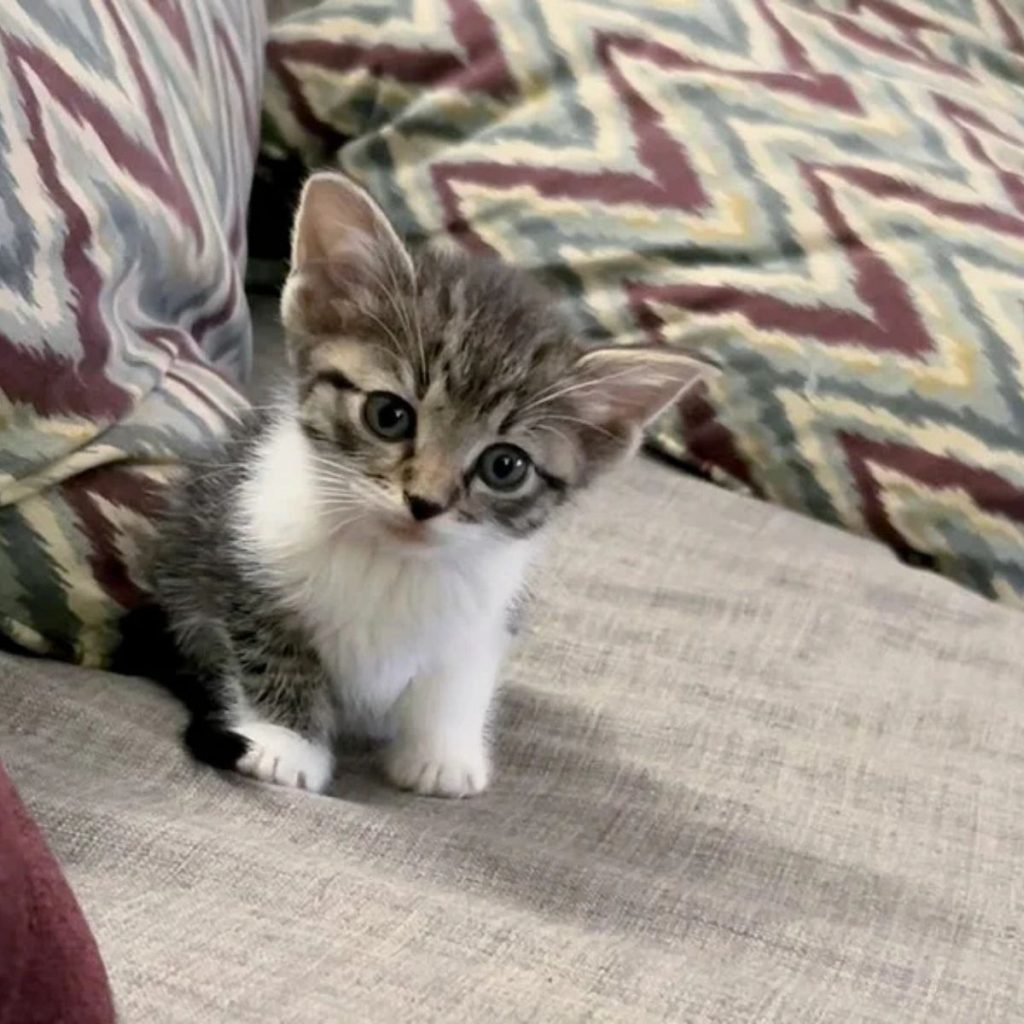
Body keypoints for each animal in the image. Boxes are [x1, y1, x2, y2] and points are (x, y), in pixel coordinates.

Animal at [151, 172, 712, 798]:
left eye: (505, 466)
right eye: (388, 415)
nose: (425, 502)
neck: (391, 562)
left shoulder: (486, 615)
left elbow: (458, 679)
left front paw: (441, 756)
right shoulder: (236, 551)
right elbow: (268, 647)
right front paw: (286, 742)